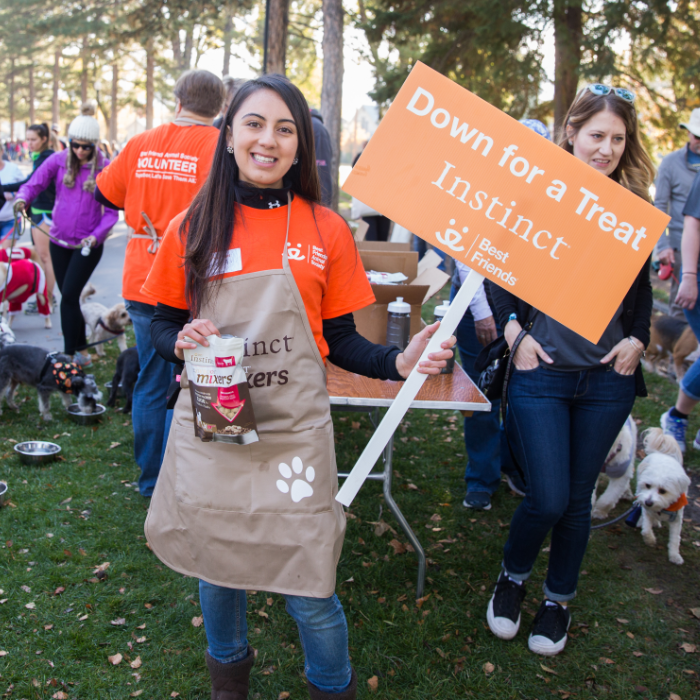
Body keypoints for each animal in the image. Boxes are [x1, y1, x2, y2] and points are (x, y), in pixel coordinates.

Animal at [636, 426, 688, 568]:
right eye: (648, 485)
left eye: (663, 491)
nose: (648, 502)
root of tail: (661, 453)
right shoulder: (646, 509)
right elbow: (646, 530)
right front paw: (650, 540)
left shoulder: (677, 520)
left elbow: (675, 539)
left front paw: (675, 556)